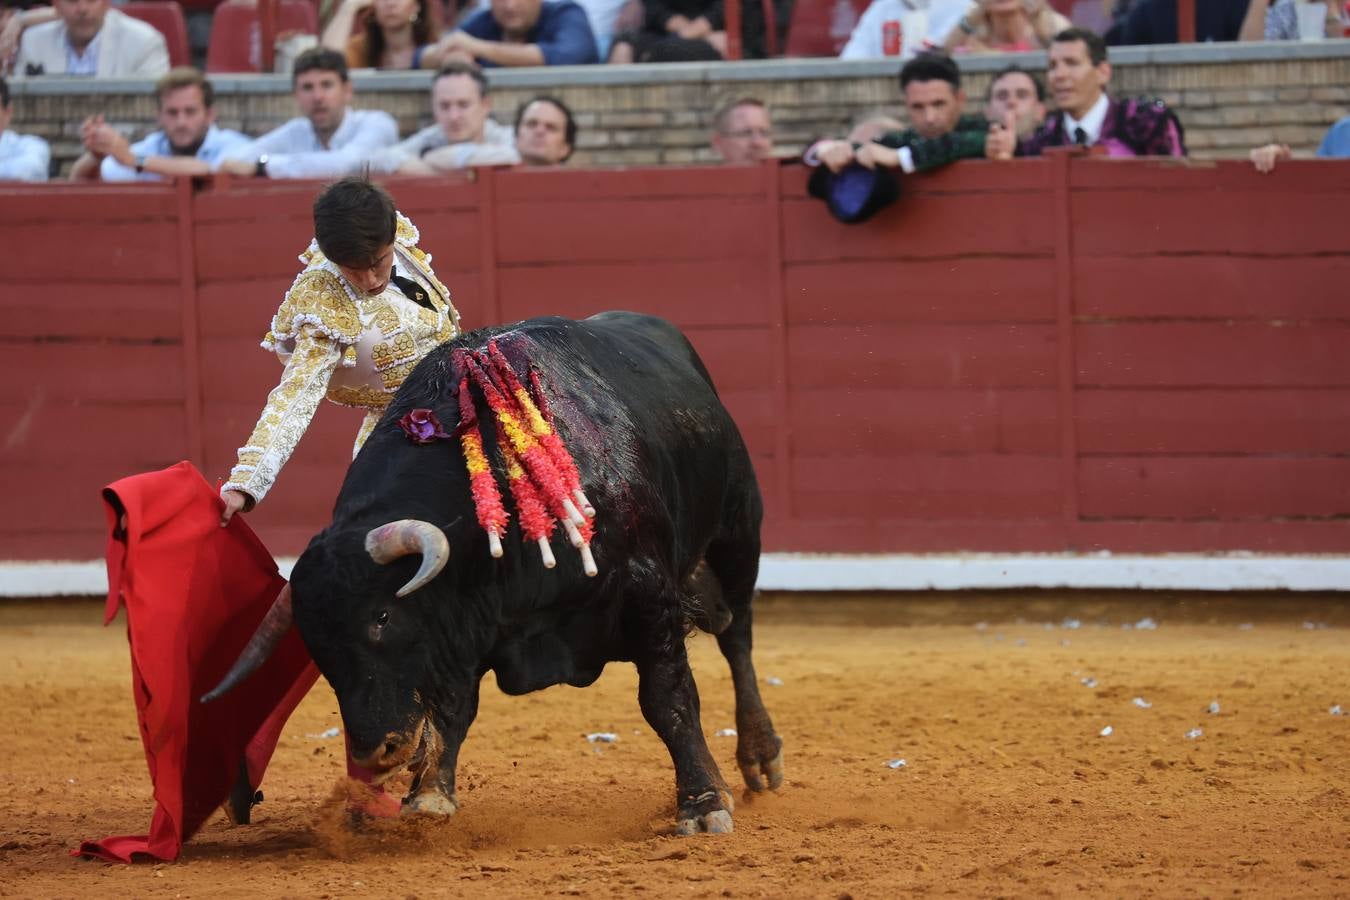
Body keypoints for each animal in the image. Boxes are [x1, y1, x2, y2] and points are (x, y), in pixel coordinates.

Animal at [213, 313, 783, 836]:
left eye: (382, 616)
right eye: (314, 644)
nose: (377, 752)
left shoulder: (648, 595)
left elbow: (668, 699)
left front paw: (703, 804)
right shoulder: (462, 626)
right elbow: (453, 704)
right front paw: (430, 795)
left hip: (737, 538)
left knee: (738, 637)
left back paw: (760, 755)